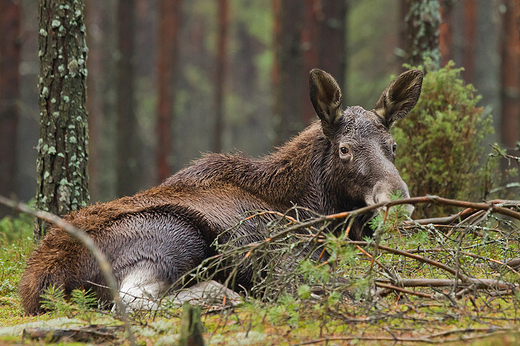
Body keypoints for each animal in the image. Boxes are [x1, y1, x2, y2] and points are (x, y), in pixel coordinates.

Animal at [19, 67, 422, 314]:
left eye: (392, 146)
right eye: (345, 149)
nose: (398, 199)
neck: (315, 208)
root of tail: (42, 284)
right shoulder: (288, 260)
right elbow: (353, 284)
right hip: (173, 236)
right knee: (133, 300)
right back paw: (226, 295)